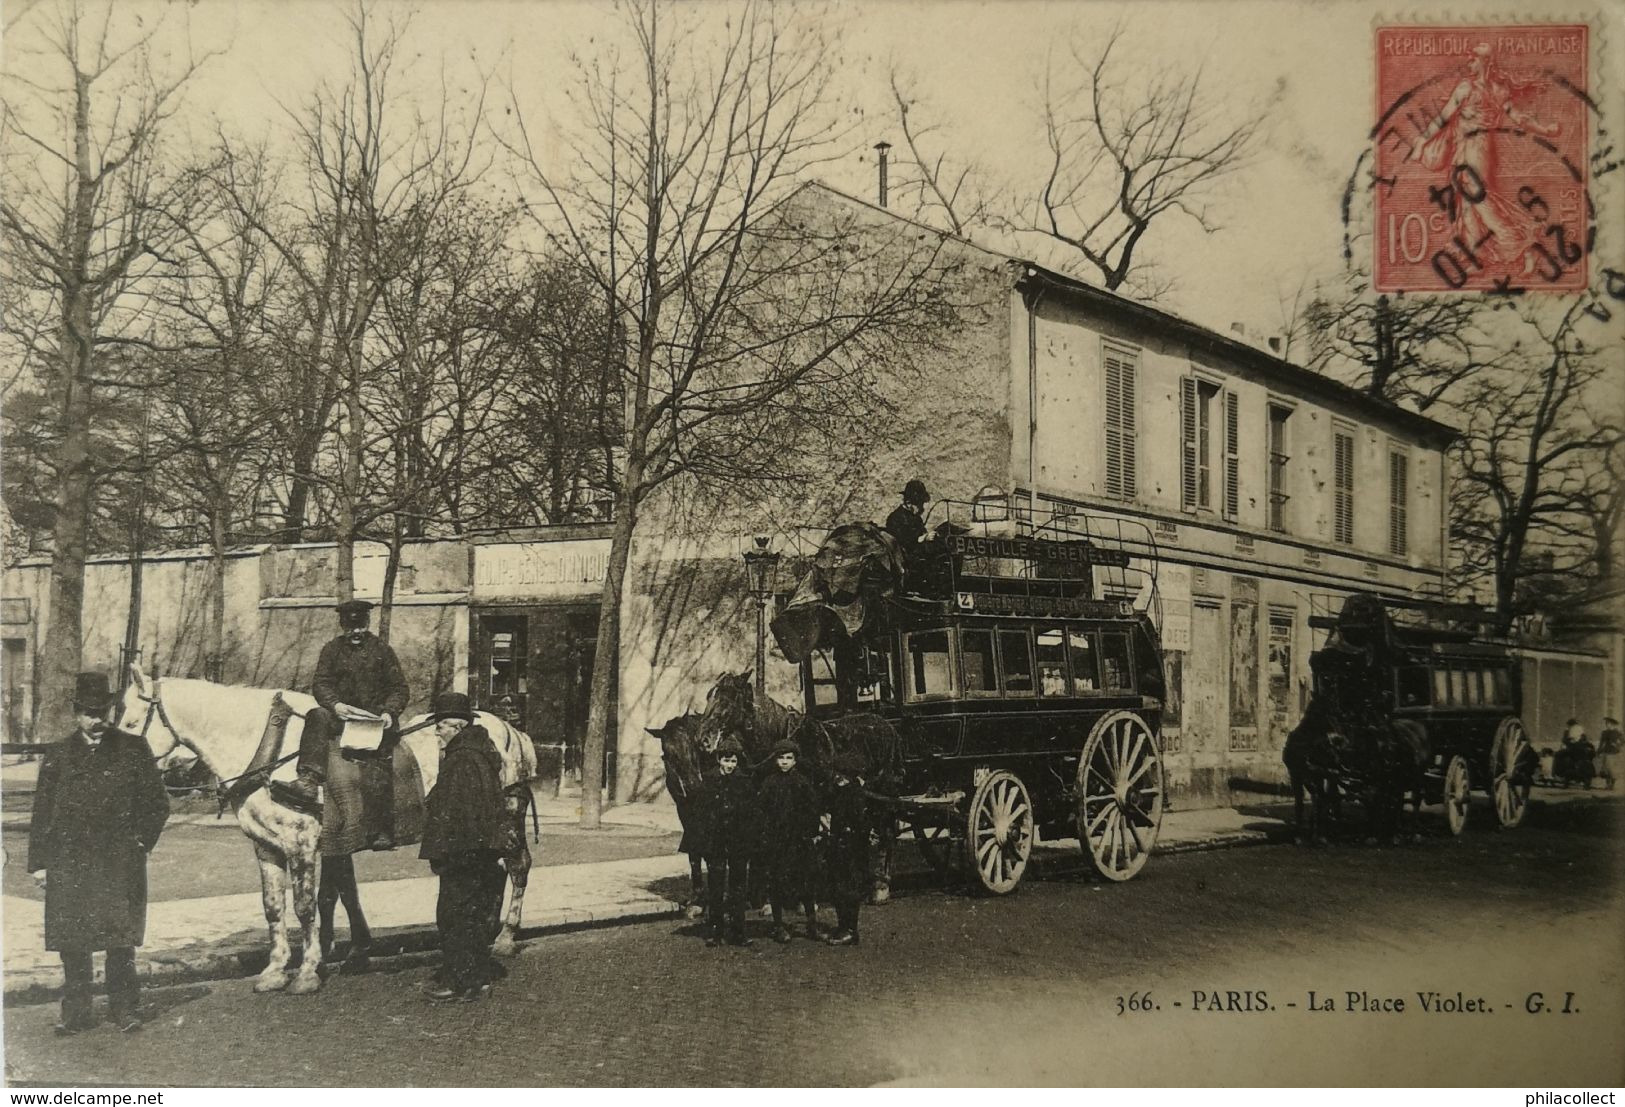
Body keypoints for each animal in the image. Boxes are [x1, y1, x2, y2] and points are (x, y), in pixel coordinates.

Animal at [117, 666, 546, 994]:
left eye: (132, 722)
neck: (272, 754)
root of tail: (512, 730)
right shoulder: (267, 847)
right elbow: (277, 907)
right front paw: (277, 970)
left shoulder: (302, 845)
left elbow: (307, 906)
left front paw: (307, 972)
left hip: (507, 815)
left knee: (518, 867)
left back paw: (506, 937)